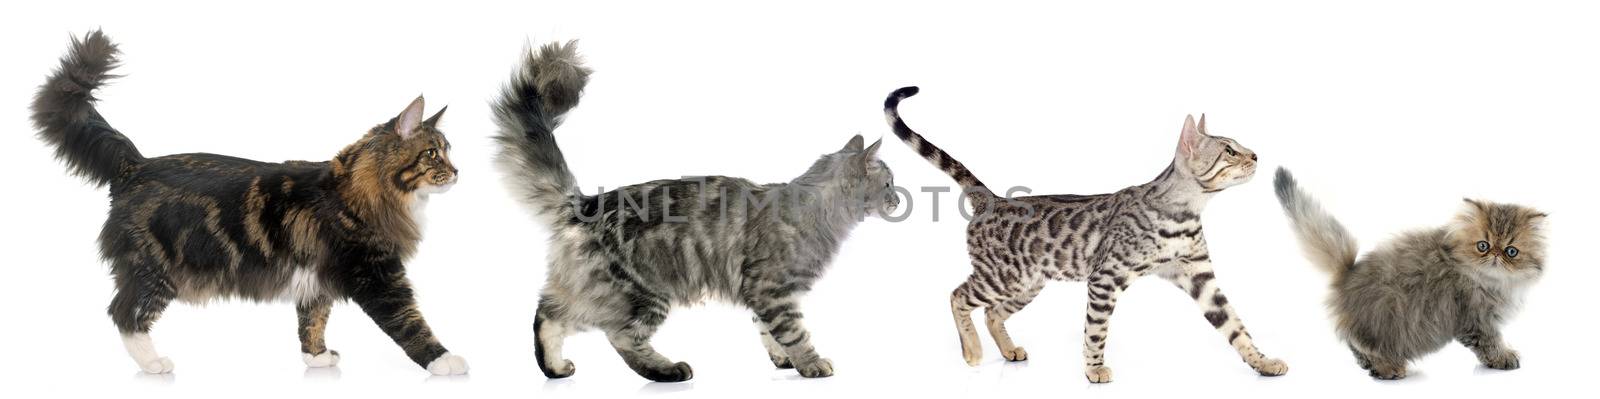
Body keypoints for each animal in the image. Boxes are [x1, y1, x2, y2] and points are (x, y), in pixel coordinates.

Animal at [29, 30, 467, 373]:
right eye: (433, 154)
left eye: (447, 152)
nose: (458, 171)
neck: (362, 190)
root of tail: (138, 164)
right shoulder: (375, 273)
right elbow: (409, 321)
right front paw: (444, 360)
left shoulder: (316, 279)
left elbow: (313, 319)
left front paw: (317, 357)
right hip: (153, 269)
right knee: (124, 314)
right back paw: (153, 363)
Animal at [486, 42, 902, 381]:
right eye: (889, 183)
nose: (898, 199)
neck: (817, 209)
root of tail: (586, 203)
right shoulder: (773, 288)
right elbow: (794, 332)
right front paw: (811, 364)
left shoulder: (762, 293)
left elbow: (768, 331)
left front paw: (783, 360)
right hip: (643, 292)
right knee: (619, 336)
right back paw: (668, 371)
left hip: (588, 289)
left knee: (547, 313)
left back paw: (554, 368)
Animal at [883, 85, 1292, 381]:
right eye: (1229, 151)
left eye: (1239, 147)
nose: (1255, 155)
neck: (1184, 211)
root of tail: (993, 199)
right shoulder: (1105, 279)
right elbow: (1096, 330)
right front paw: (1094, 369)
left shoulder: (1200, 276)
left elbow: (1236, 326)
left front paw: (1262, 361)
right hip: (1004, 276)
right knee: (958, 296)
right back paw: (972, 351)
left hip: (1027, 283)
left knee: (993, 313)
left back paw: (1008, 350)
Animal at [1267, 166, 1542, 378]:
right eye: (1483, 246)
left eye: (1511, 251)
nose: (1496, 255)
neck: (1490, 282)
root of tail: (1348, 274)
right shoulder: (1475, 320)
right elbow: (1490, 343)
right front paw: (1503, 358)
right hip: (1383, 319)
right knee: (1361, 343)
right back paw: (1387, 368)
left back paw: (1371, 365)